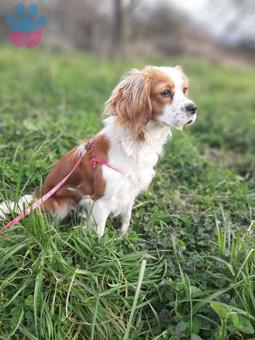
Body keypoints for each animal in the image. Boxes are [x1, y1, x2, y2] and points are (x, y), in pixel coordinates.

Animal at [0, 65, 197, 236]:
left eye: (185, 90)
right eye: (165, 92)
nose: (193, 108)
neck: (136, 143)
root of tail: (39, 194)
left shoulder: (129, 194)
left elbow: (126, 219)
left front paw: (122, 238)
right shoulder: (101, 201)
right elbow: (99, 234)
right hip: (60, 206)